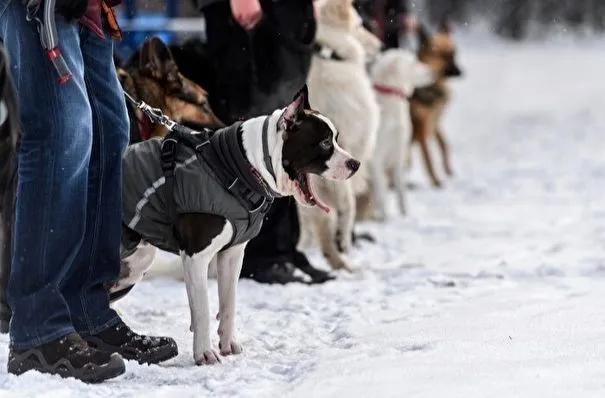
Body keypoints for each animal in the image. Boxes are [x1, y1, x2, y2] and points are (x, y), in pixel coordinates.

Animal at [410, 17, 462, 187]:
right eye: (443, 56)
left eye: (454, 53)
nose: (460, 72)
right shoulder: (422, 127)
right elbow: (428, 157)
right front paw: (436, 180)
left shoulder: (434, 122)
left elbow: (444, 145)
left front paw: (447, 169)